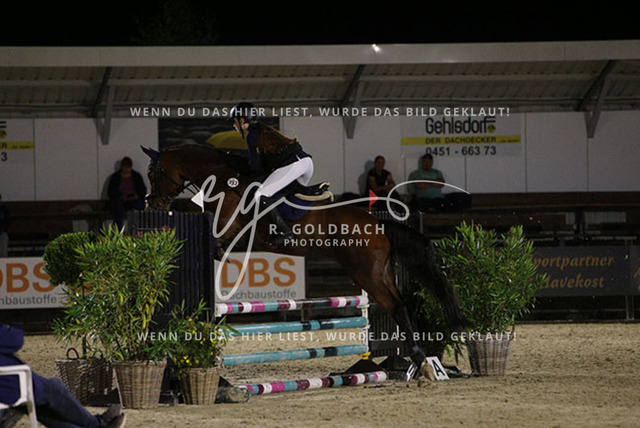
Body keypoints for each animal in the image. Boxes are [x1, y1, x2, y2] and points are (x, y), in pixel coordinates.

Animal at [142, 131, 466, 373]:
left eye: (154, 172)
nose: (151, 204)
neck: (220, 177)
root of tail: (379, 224)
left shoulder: (231, 225)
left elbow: (211, 230)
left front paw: (216, 249)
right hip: (381, 271)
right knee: (402, 305)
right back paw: (417, 358)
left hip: (367, 273)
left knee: (396, 307)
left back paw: (419, 359)